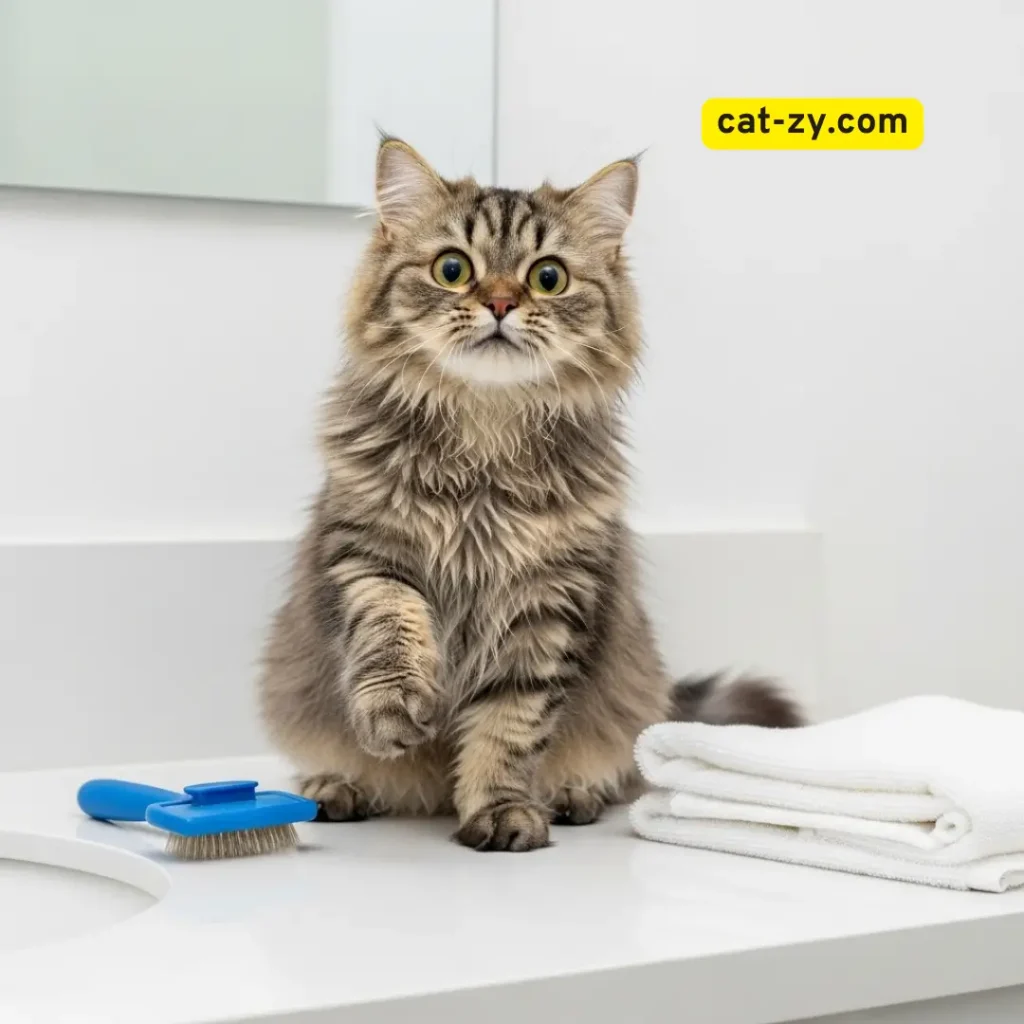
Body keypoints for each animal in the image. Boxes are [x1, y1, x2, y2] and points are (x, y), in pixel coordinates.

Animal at [258, 137, 802, 852]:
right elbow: (391, 634)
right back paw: (337, 788)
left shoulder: (548, 603)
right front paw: (400, 711)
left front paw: (500, 811)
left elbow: (509, 727)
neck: (484, 450)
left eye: (548, 278)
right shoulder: (369, 557)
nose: (499, 303)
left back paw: (573, 795)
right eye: (453, 269)